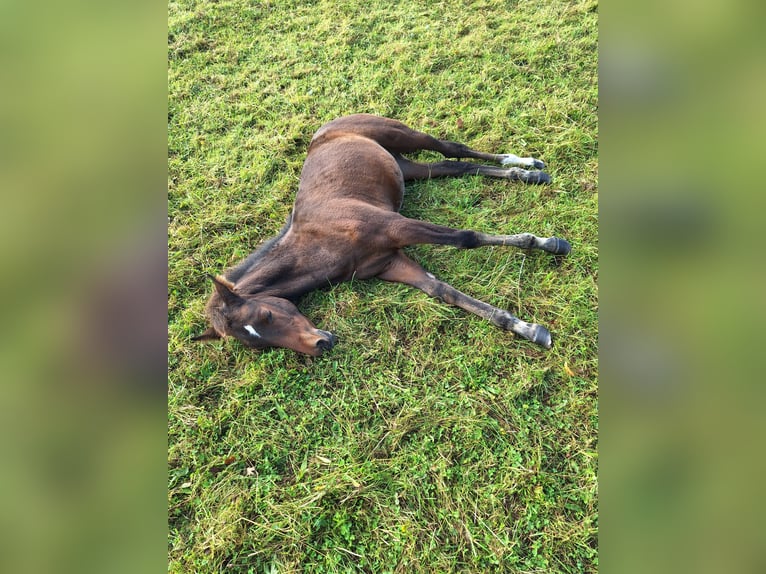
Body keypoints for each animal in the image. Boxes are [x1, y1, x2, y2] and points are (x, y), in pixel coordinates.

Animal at [194, 114, 570, 356]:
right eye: (259, 343)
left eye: (266, 315)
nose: (320, 345)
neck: (321, 243)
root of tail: (328, 125)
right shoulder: (391, 263)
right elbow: (444, 292)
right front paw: (528, 329)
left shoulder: (394, 225)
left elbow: (466, 238)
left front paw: (549, 243)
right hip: (405, 166)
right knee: (452, 166)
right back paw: (525, 175)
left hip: (402, 135)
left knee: (451, 147)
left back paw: (528, 164)